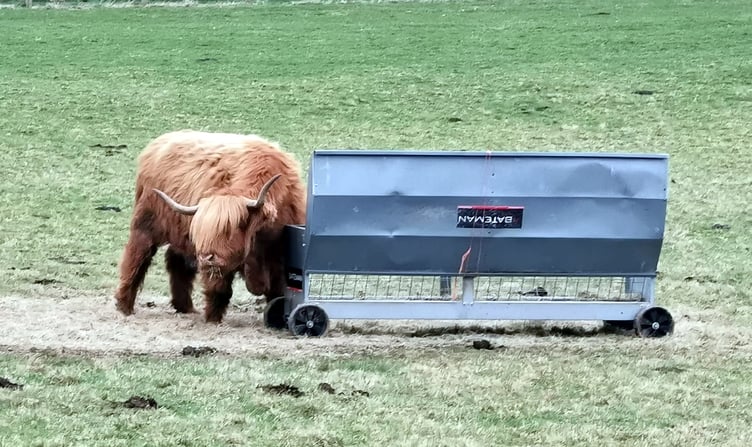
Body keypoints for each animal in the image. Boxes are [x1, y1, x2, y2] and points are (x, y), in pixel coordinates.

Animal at [113, 130, 307, 323]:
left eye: (233, 227)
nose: (207, 258)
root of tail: (159, 142)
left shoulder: (280, 257)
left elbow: (278, 292)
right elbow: (219, 290)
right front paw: (213, 319)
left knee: (176, 262)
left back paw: (185, 307)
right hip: (145, 225)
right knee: (136, 258)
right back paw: (124, 306)